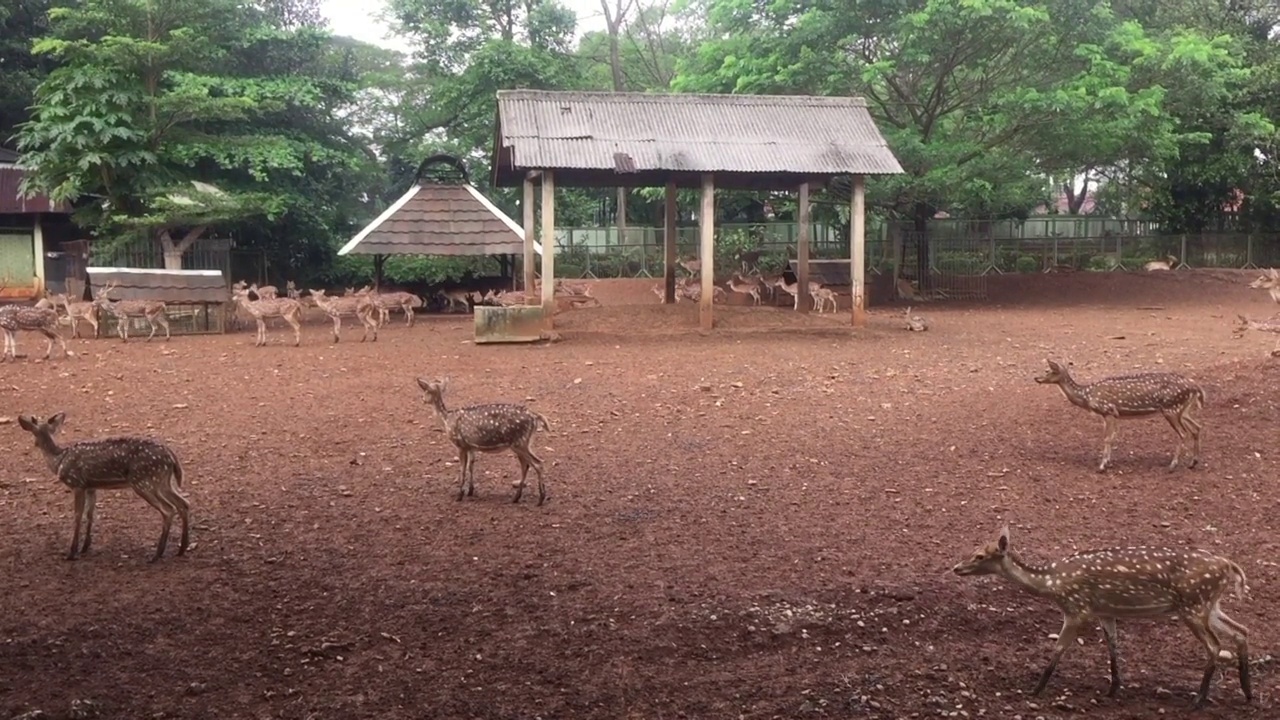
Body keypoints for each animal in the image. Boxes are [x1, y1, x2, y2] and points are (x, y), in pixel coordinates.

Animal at [16, 409, 189, 561]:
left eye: (33, 432)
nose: (35, 444)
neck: (59, 460)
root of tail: (171, 456)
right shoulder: (91, 487)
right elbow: (90, 514)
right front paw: (85, 547)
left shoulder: (77, 484)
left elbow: (77, 515)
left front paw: (72, 552)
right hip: (162, 482)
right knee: (183, 503)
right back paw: (181, 548)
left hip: (143, 481)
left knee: (168, 510)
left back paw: (157, 555)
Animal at [412, 376, 547, 504]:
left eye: (426, 390)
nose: (422, 399)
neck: (446, 420)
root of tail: (535, 418)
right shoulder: (471, 446)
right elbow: (471, 465)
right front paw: (470, 491)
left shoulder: (461, 444)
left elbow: (462, 469)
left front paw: (459, 495)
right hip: (523, 443)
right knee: (526, 465)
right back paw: (516, 497)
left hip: (520, 443)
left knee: (538, 463)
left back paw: (541, 499)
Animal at [957, 525, 1244, 702]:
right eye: (973, 549)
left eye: (980, 555)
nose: (956, 568)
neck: (1052, 584)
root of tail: (1230, 565)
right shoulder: (1104, 611)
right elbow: (1112, 645)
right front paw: (1113, 688)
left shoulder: (1077, 609)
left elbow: (1058, 648)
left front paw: (1035, 690)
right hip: (1210, 606)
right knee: (1241, 630)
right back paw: (1247, 692)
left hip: (1193, 606)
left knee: (1215, 645)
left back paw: (1199, 700)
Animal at [1034, 358, 1203, 471]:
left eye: (1049, 370)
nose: (1036, 378)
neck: (1087, 396)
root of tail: (1196, 387)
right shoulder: (1114, 414)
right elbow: (1113, 436)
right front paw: (1108, 462)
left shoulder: (1107, 410)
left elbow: (1107, 438)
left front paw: (1102, 466)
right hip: (1183, 410)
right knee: (1197, 427)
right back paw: (1193, 462)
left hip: (1171, 408)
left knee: (1183, 433)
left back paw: (1173, 465)